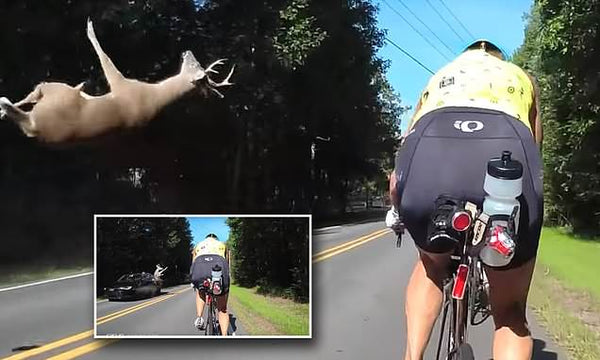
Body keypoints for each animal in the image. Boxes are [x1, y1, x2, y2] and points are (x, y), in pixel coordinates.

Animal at [0, 19, 234, 143]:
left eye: (197, 67)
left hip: (55, 93)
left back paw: (4, 104)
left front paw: (90, 30)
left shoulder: (121, 84)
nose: (187, 51)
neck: (154, 94)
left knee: (36, 92)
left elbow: (106, 60)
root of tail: (35, 127)